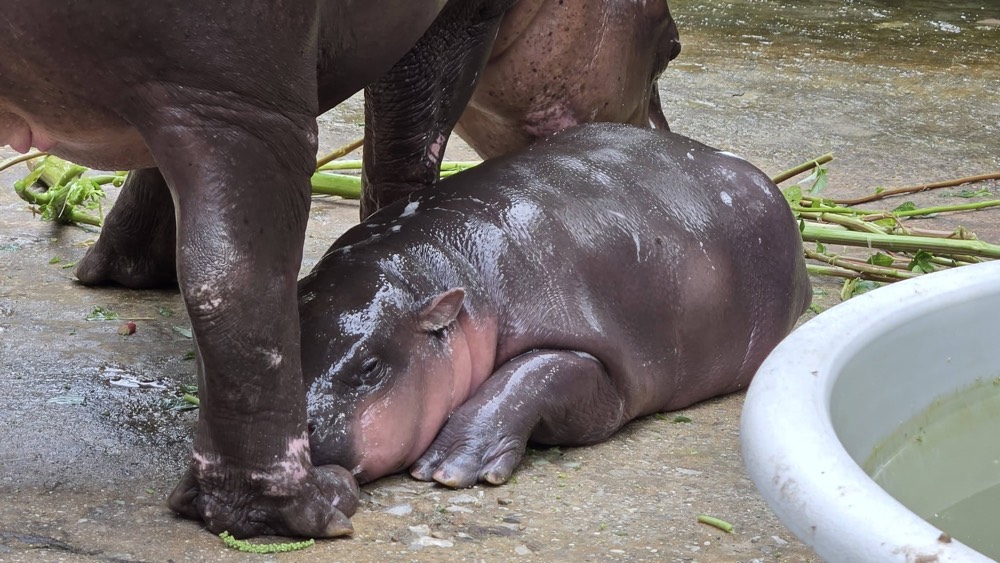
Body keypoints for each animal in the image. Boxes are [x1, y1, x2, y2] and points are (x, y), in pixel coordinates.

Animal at [300, 123, 811, 488]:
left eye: (370, 368)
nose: (294, 430)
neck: (443, 269)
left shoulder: (594, 354)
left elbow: (533, 374)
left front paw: (451, 467)